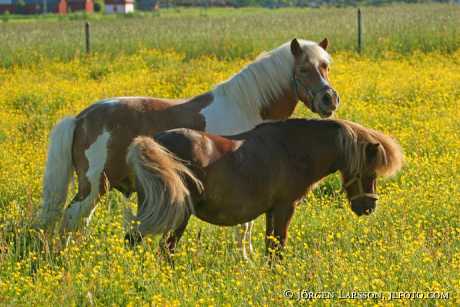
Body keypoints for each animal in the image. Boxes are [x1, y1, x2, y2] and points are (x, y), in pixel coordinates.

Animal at [35, 38, 338, 255]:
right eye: (303, 69)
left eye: (326, 67)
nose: (329, 100)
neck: (247, 107)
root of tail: (82, 117)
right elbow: (244, 227)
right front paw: (246, 260)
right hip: (93, 186)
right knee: (71, 220)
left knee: (79, 223)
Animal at [124, 119, 400, 258]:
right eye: (370, 173)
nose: (369, 207)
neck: (292, 148)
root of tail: (154, 142)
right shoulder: (285, 208)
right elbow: (278, 246)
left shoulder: (271, 211)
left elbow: (270, 245)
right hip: (178, 215)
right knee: (165, 249)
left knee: (134, 240)